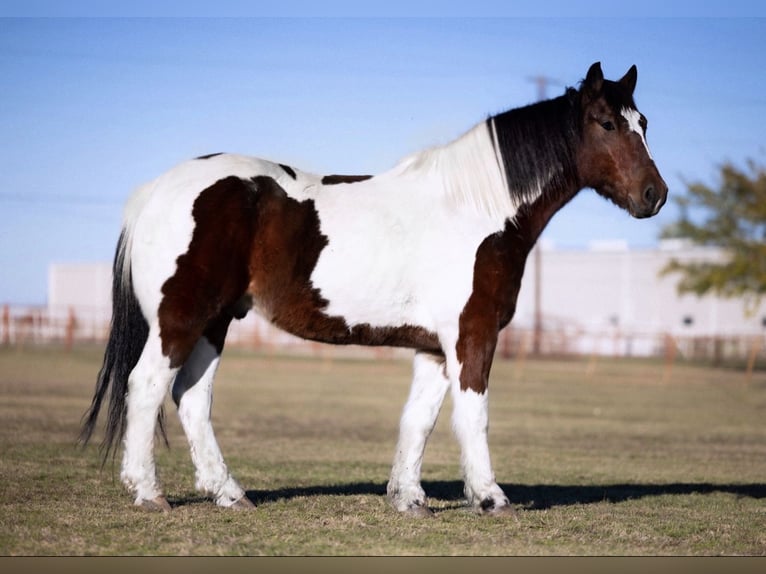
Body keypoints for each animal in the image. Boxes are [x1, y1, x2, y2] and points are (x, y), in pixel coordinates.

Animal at [78, 62, 664, 516]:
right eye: (607, 123)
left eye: (644, 123)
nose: (654, 195)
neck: (477, 211)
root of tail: (157, 189)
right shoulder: (472, 334)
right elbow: (473, 414)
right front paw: (490, 497)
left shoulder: (434, 348)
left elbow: (419, 420)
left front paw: (409, 499)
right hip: (181, 318)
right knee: (147, 386)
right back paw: (149, 493)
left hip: (215, 321)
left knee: (191, 396)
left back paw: (229, 493)